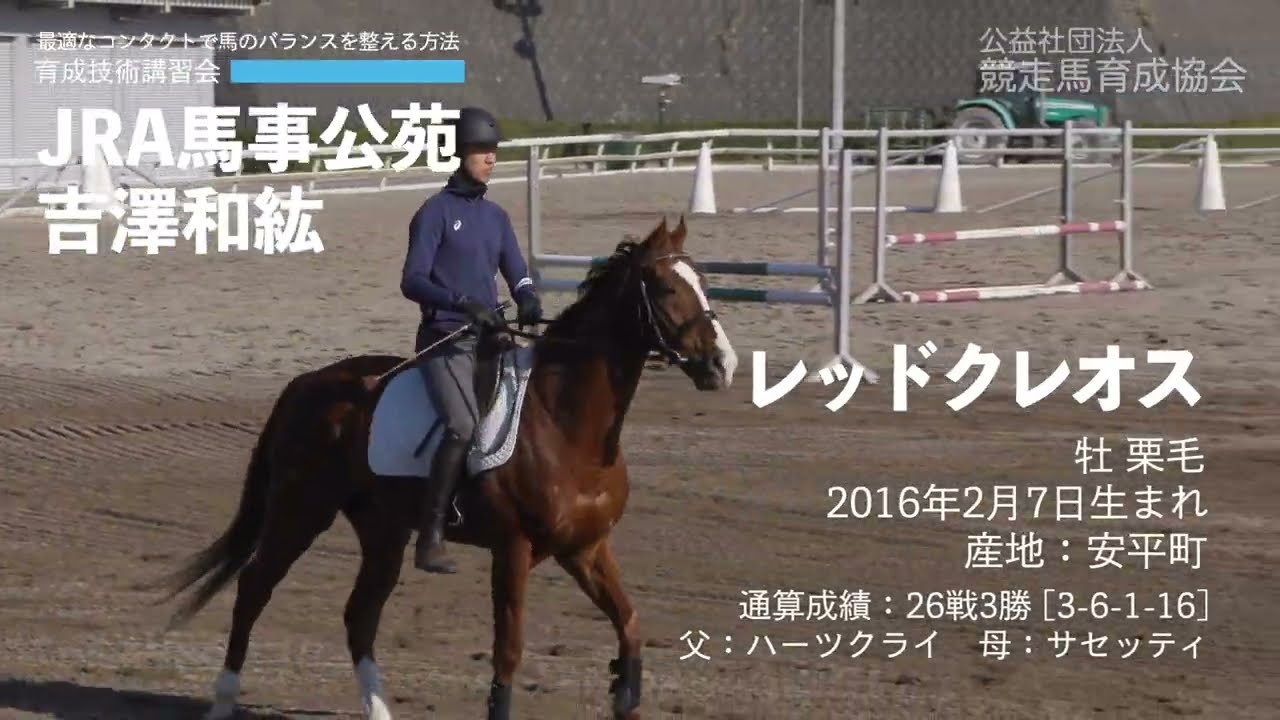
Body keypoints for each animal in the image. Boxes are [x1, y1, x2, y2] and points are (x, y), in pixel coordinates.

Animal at [152, 215, 739, 720]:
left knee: (359, 615)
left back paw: (379, 710)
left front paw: (625, 692)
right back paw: (224, 700)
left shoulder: (585, 548)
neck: (565, 423)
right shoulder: (513, 550)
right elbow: (508, 650)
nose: (722, 364)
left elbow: (630, 623)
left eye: (705, 282)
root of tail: (302, 385)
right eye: (665, 288)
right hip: (300, 511)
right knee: (254, 588)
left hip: (383, 530)